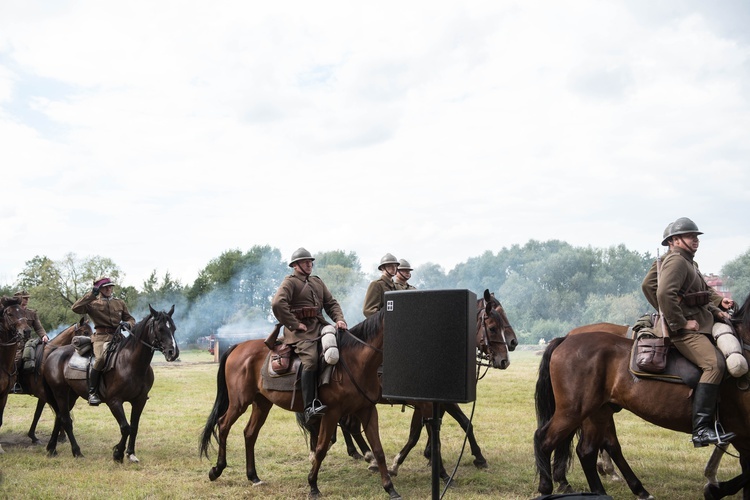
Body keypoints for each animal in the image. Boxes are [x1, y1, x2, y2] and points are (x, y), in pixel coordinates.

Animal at [42, 304, 179, 460]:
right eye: (160, 328)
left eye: (173, 328)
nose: (173, 353)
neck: (131, 363)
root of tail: (53, 353)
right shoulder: (114, 401)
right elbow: (125, 427)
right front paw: (118, 453)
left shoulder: (139, 400)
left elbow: (134, 427)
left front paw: (130, 453)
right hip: (60, 393)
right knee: (65, 419)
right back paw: (77, 451)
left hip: (71, 395)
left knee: (59, 417)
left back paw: (51, 448)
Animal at [198, 310, 400, 498]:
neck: (356, 362)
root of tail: (239, 345)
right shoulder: (331, 413)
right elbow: (320, 449)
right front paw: (313, 485)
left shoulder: (367, 410)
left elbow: (378, 450)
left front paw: (390, 488)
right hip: (239, 402)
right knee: (223, 425)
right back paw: (217, 469)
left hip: (262, 403)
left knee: (250, 433)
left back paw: (253, 476)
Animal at [536, 296, 750, 500]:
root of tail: (566, 338)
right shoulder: (739, 430)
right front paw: (714, 488)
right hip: (573, 411)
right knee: (545, 440)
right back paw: (549, 487)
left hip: (598, 412)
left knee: (588, 450)